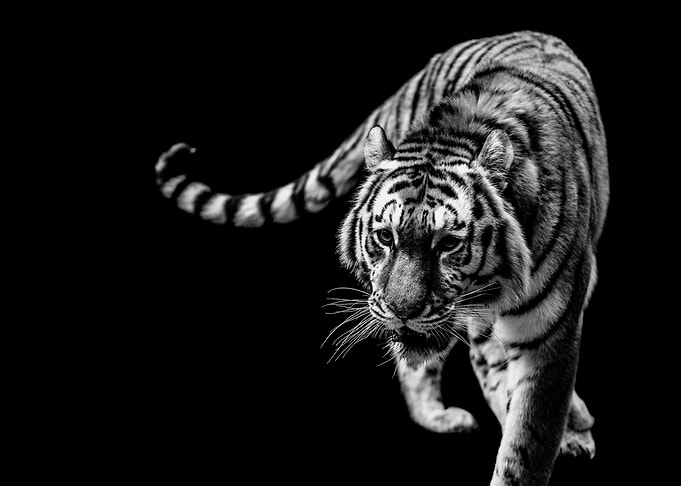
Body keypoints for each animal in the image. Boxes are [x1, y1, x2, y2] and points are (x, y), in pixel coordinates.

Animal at [155, 31, 608, 485]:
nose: (401, 311)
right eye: (385, 237)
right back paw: (442, 416)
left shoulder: (549, 337)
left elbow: (527, 442)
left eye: (447, 244)